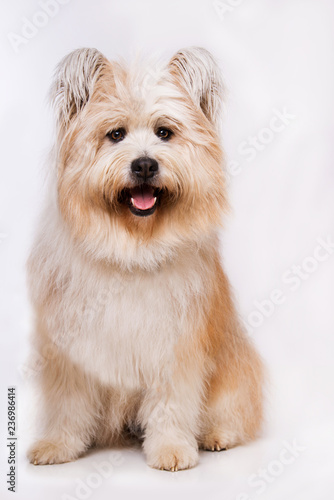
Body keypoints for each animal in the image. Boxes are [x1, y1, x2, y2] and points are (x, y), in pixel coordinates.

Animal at [26, 45, 264, 470]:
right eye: (115, 134)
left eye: (164, 132)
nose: (144, 164)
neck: (132, 248)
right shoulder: (69, 351)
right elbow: (67, 404)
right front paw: (58, 445)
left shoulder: (175, 349)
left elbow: (172, 404)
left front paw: (170, 449)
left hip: (233, 374)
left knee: (235, 411)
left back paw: (216, 436)